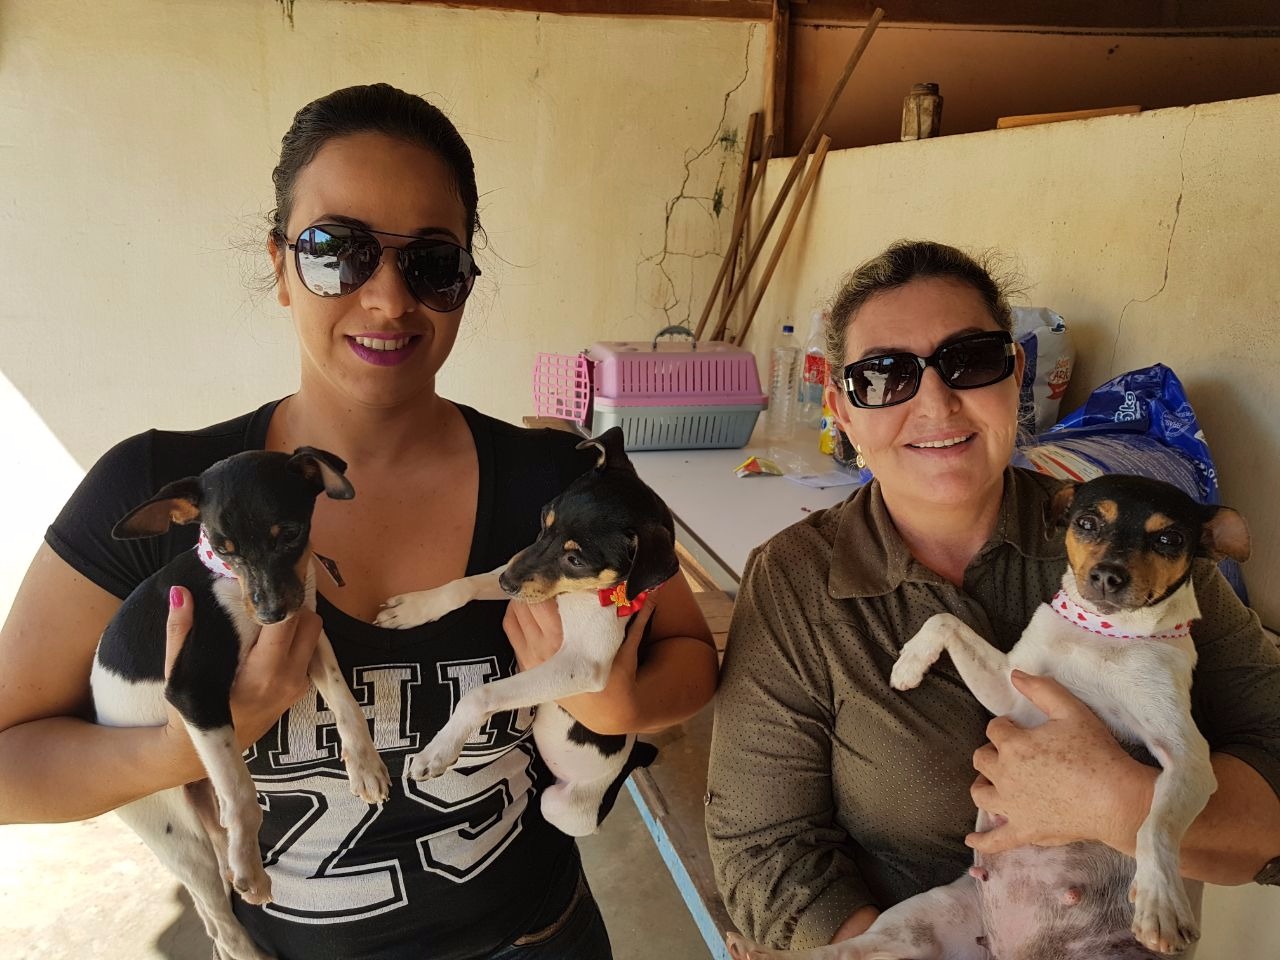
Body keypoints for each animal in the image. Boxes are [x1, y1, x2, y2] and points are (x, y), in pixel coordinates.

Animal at [93, 450, 386, 960]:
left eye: (290, 533)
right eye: (222, 547)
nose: (270, 613)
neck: (228, 583)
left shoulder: (306, 635)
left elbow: (344, 698)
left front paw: (365, 765)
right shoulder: (193, 693)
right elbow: (243, 793)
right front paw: (252, 866)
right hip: (179, 840)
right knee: (217, 918)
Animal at [376, 427, 680, 834]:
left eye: (575, 559)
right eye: (543, 520)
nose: (506, 582)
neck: (580, 596)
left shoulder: (584, 664)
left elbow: (482, 695)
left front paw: (440, 749)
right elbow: (462, 587)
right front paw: (413, 609)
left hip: (561, 805)